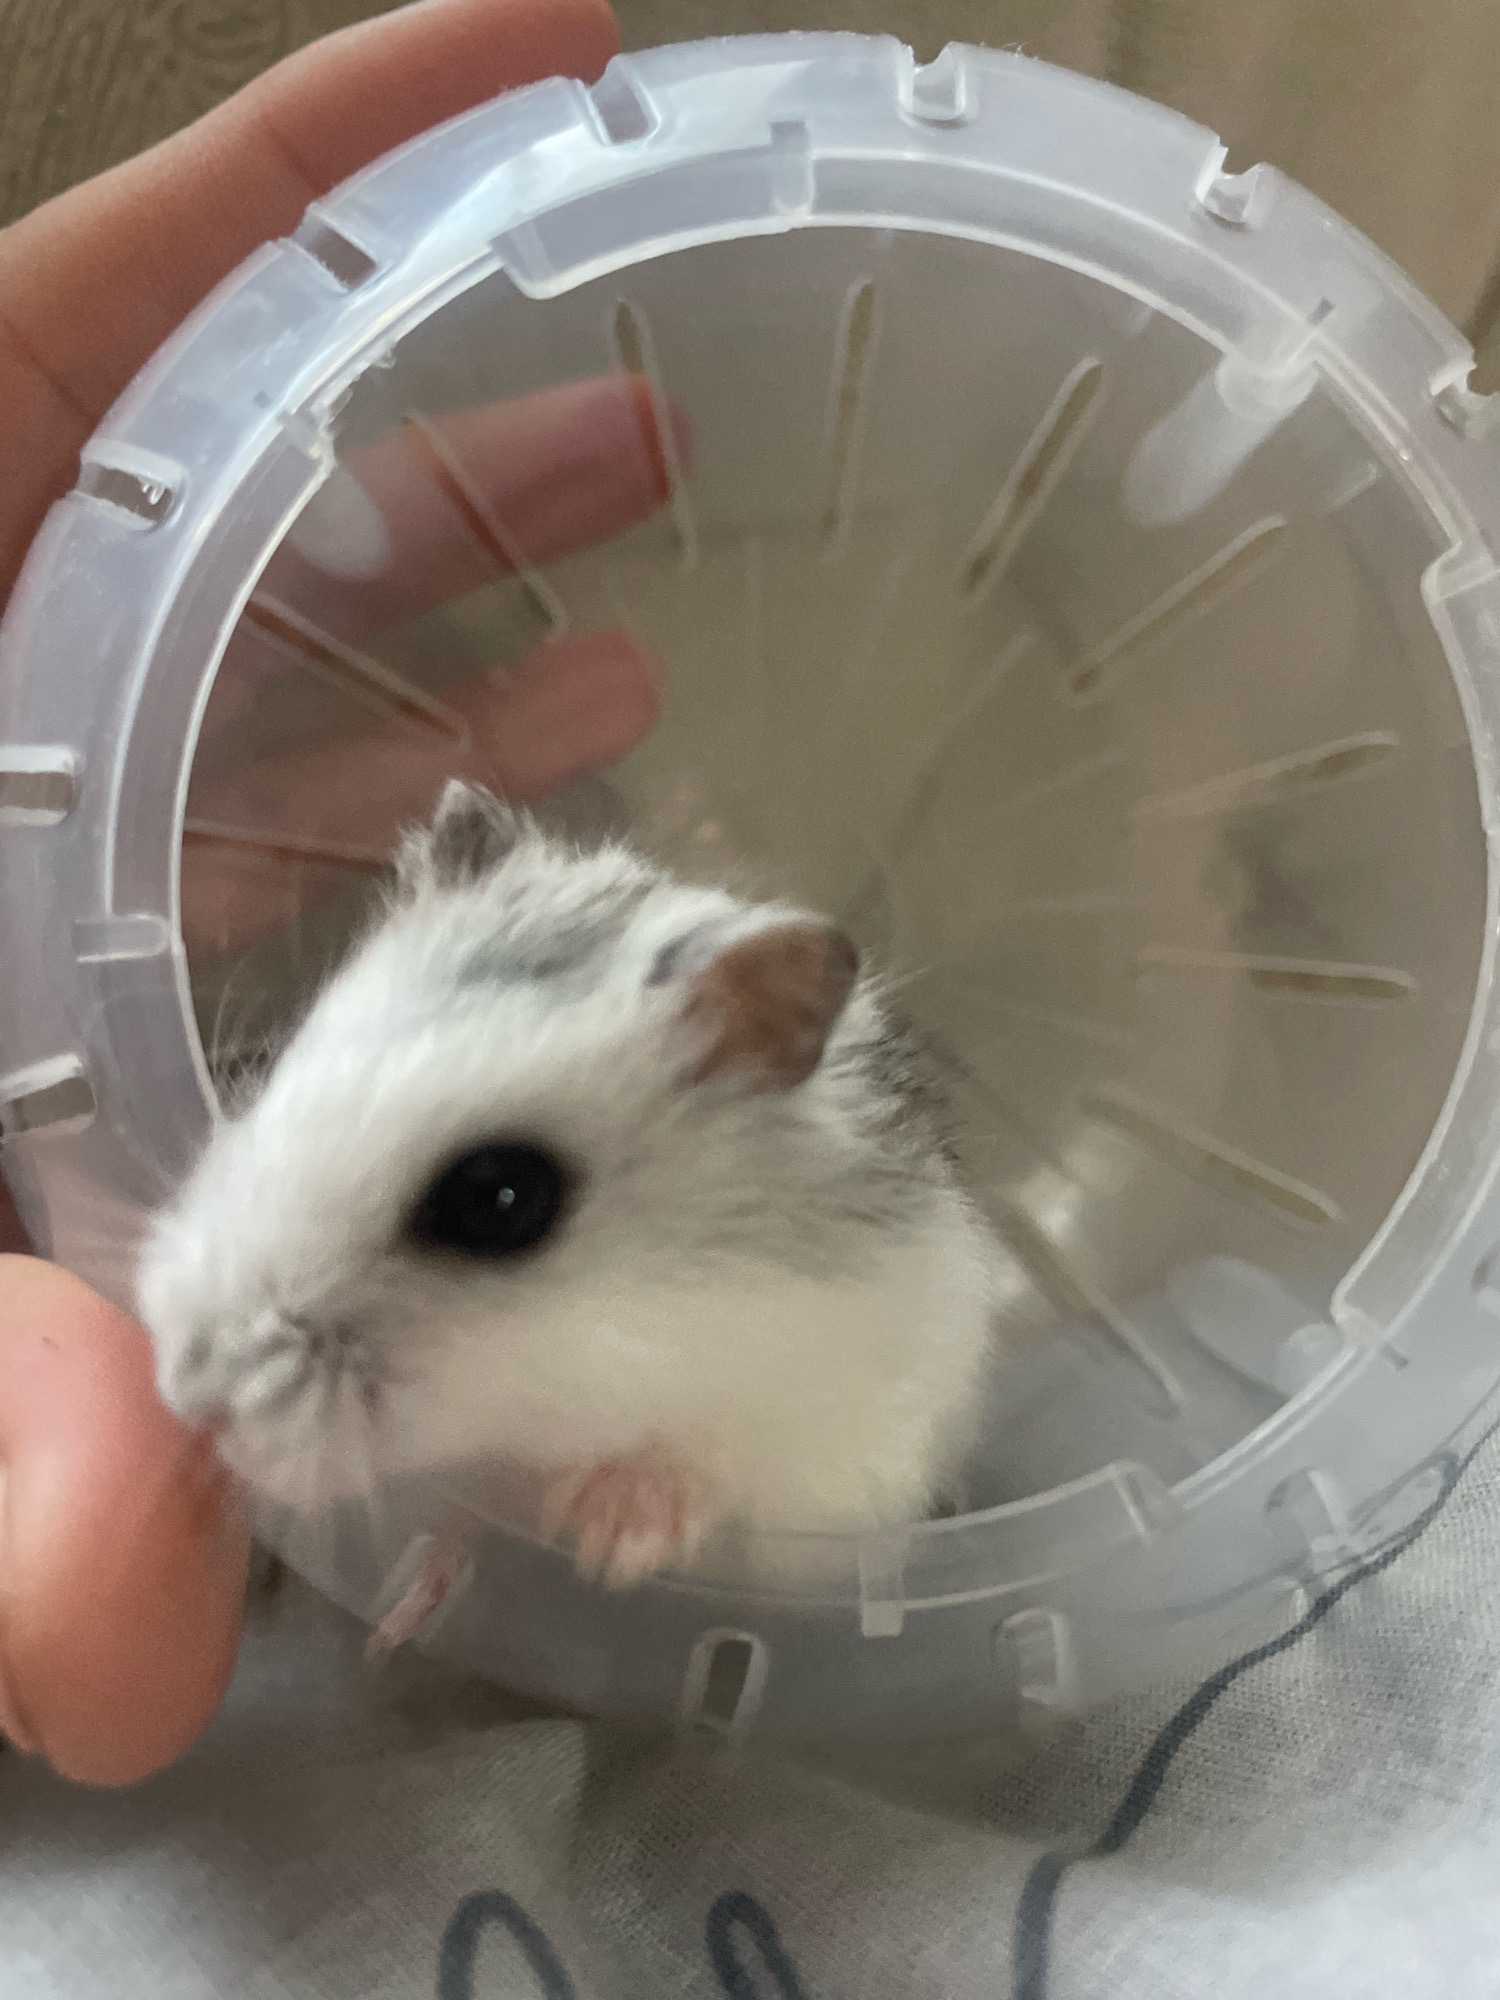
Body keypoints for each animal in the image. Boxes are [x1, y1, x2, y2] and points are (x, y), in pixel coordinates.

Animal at [138, 781, 997, 1588]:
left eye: (499, 1200)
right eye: (284, 1066)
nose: (188, 1397)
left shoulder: (831, 1449)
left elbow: (708, 1471)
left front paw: (604, 1540)